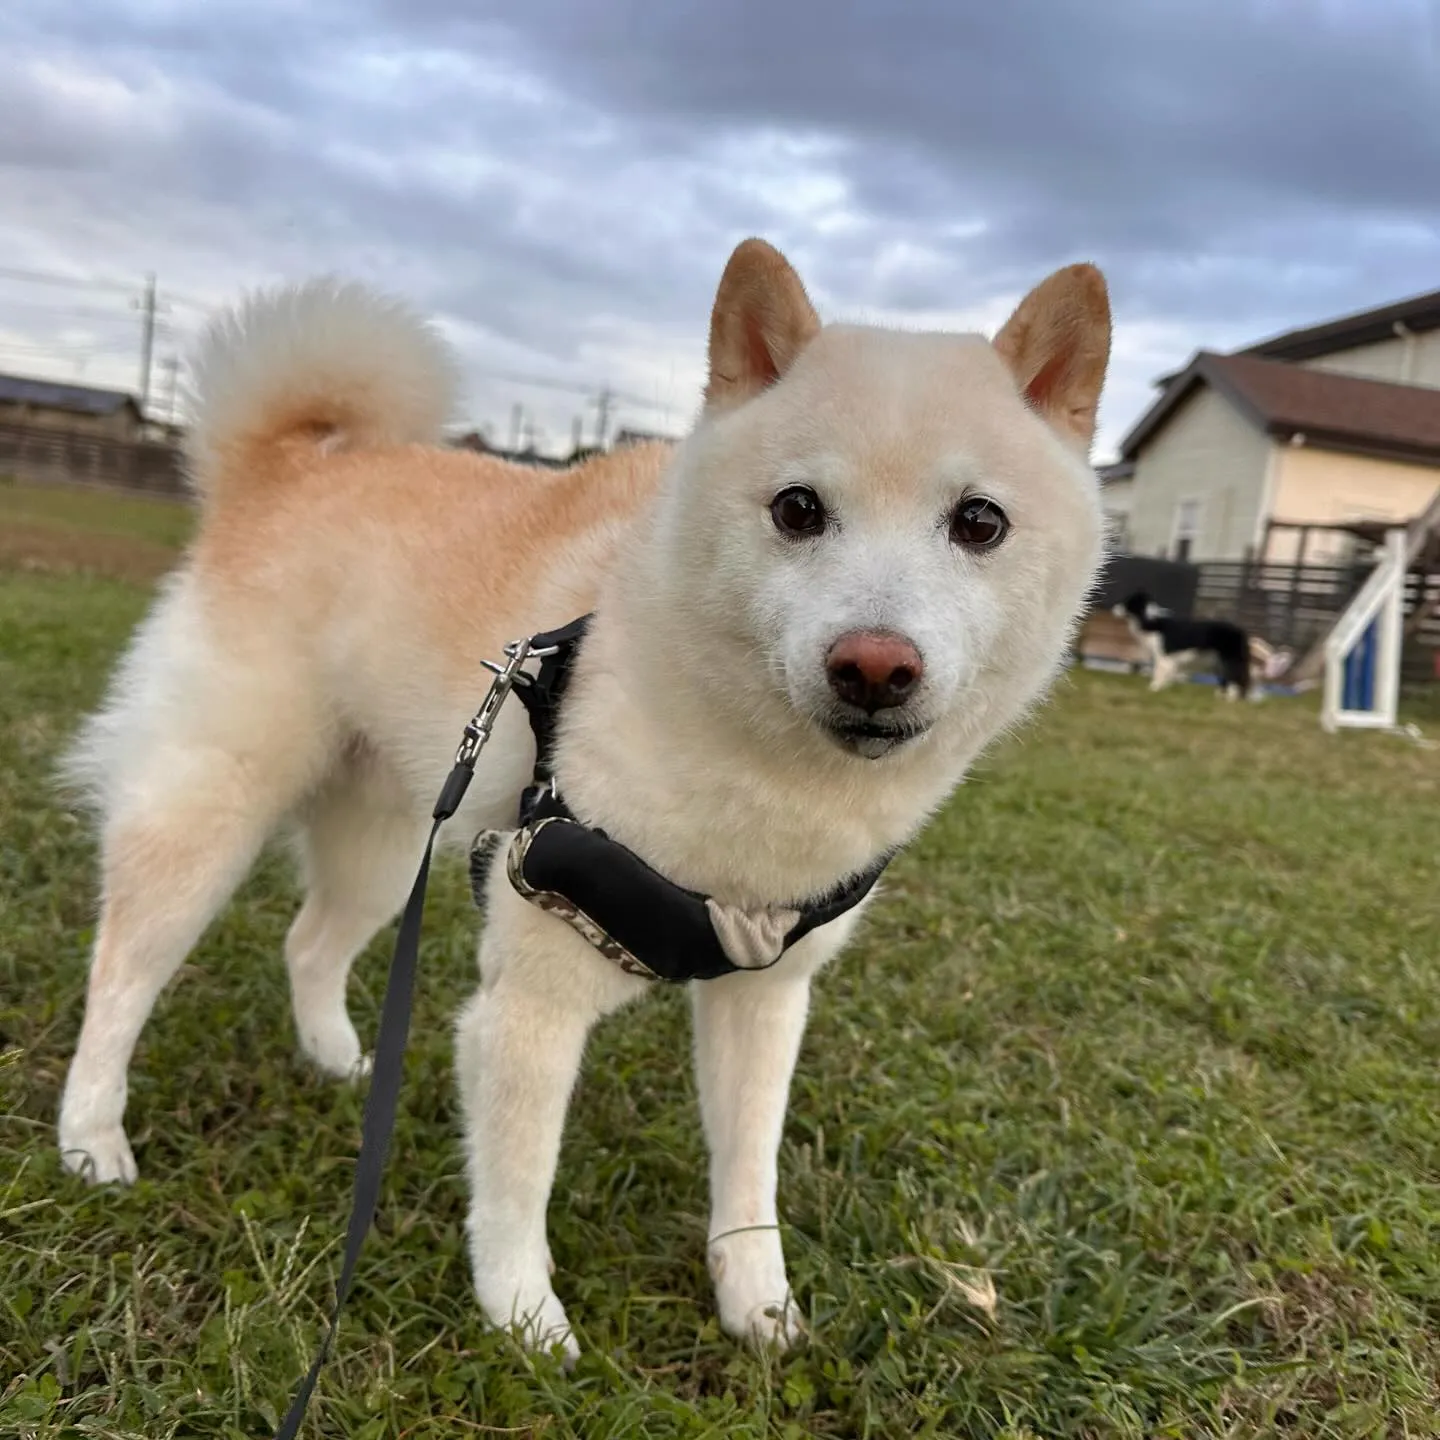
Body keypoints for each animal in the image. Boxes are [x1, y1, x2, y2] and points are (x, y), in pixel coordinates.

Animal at [56, 239, 1111, 1359]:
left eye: (980, 523)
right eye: (797, 510)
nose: (874, 666)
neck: (759, 785)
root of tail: (289, 467)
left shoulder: (766, 995)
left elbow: (750, 1173)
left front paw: (759, 1303)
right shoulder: (532, 994)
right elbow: (520, 1181)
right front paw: (524, 1318)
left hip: (392, 839)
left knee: (307, 943)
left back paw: (340, 1065)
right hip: (210, 814)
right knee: (119, 976)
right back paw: (91, 1138)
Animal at [1111, 587, 1249, 694]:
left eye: (1126, 602)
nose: (1113, 609)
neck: (1150, 620)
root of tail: (1240, 630)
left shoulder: (1163, 656)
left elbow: (1158, 672)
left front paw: (1154, 688)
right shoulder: (1168, 659)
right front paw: (1163, 688)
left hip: (1229, 660)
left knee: (1234, 677)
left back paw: (1230, 698)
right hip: (1217, 661)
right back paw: (1220, 695)